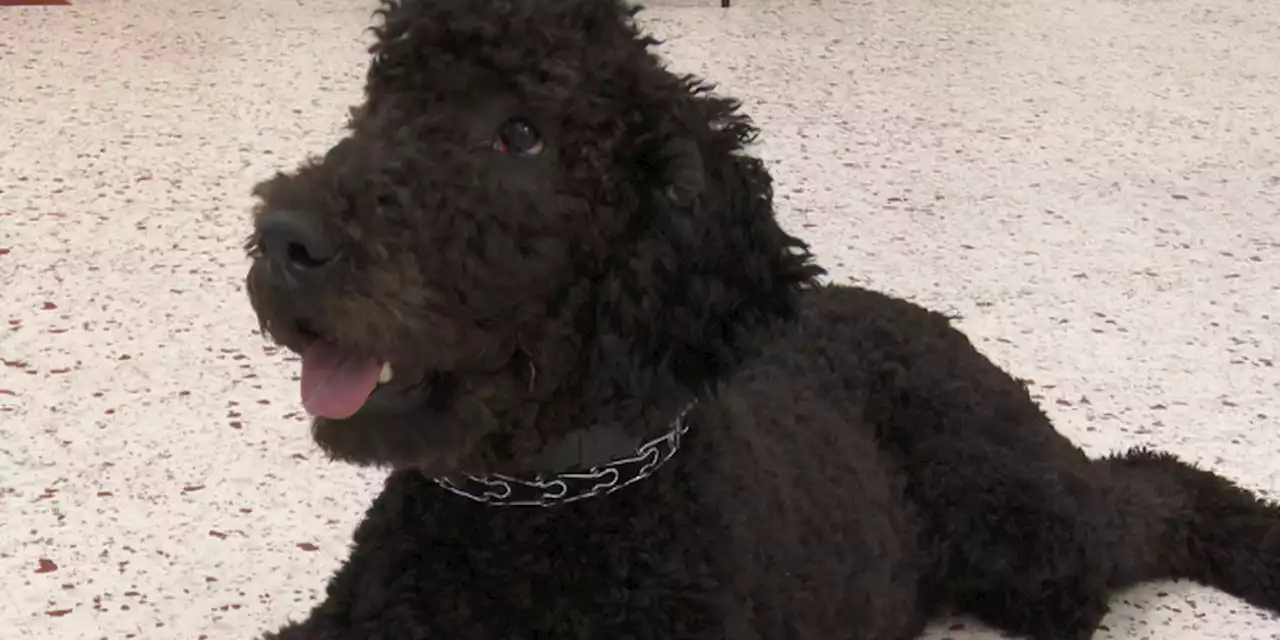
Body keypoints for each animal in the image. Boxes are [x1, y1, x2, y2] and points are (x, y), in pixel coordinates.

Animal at [241, 2, 1280, 637]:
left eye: (522, 133)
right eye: (379, 101)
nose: (283, 241)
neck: (539, 508)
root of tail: (924, 319)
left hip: (1026, 535)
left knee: (1146, 494)